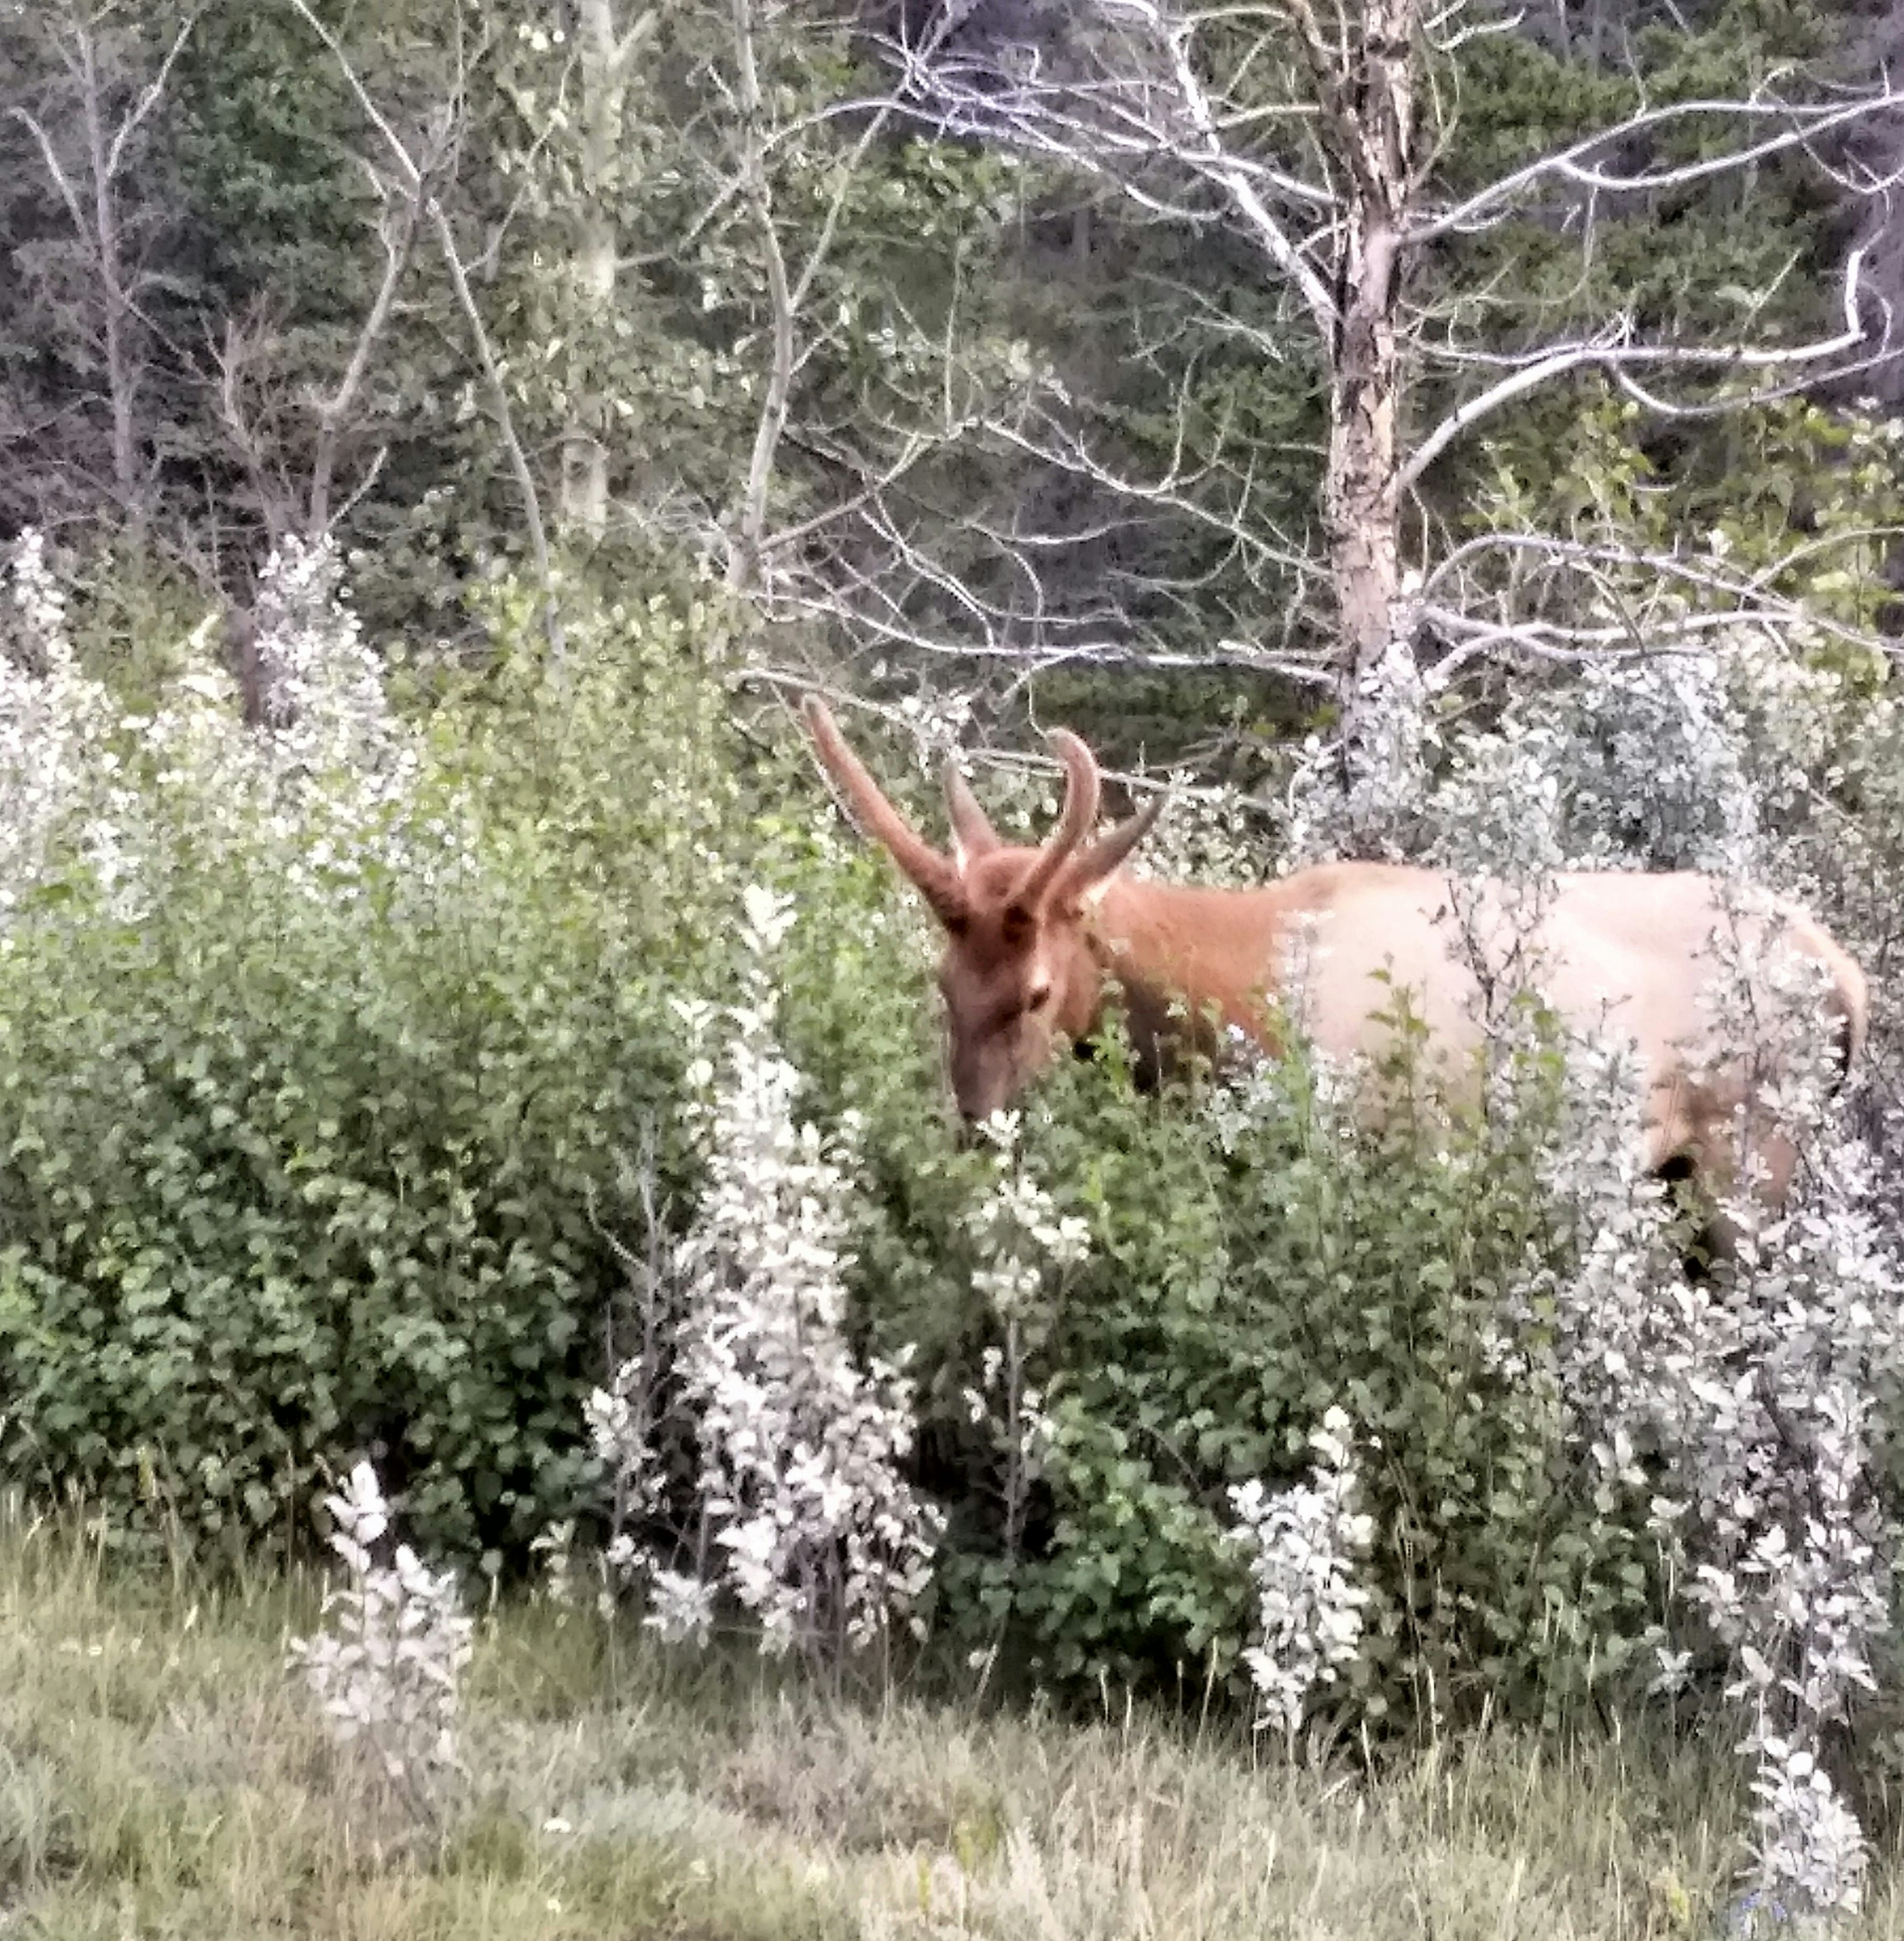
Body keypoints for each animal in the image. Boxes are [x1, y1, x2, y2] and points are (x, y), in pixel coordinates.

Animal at [795, 695, 1863, 1211]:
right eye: (942, 982)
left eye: (1035, 991)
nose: (976, 1131)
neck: (1227, 1013)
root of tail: (1852, 982)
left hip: (1749, 1161)